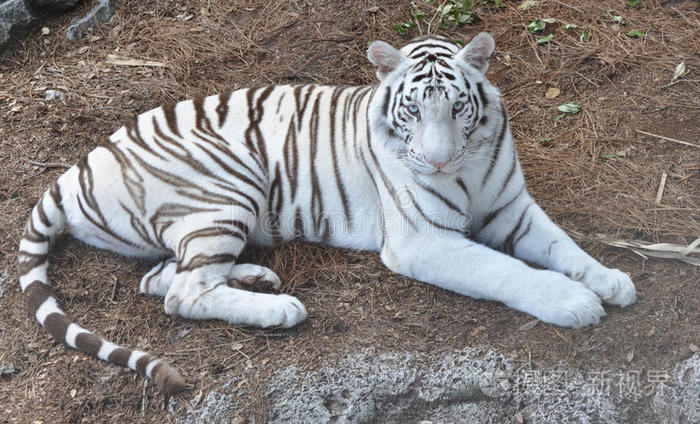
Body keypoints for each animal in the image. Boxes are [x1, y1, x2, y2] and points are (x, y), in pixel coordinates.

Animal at [17, 32, 637, 395]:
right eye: (413, 110)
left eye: (458, 107)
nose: (438, 161)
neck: (467, 166)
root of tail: (75, 168)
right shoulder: (423, 239)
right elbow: (506, 270)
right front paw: (574, 303)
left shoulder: (512, 207)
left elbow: (563, 245)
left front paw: (610, 280)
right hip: (227, 185)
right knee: (183, 293)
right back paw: (278, 309)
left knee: (160, 278)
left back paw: (256, 276)